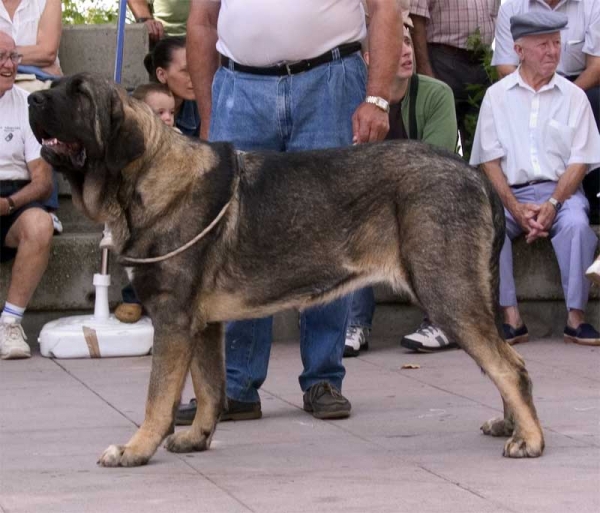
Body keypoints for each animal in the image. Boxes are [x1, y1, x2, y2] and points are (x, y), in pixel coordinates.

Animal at [28, 73, 544, 468]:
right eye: (55, 86)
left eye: (80, 95)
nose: (32, 99)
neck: (144, 179)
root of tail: (475, 173)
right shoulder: (203, 325)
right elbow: (210, 387)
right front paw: (197, 437)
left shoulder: (173, 320)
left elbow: (158, 397)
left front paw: (135, 450)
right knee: (503, 363)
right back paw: (510, 425)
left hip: (446, 293)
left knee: (509, 366)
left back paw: (530, 439)